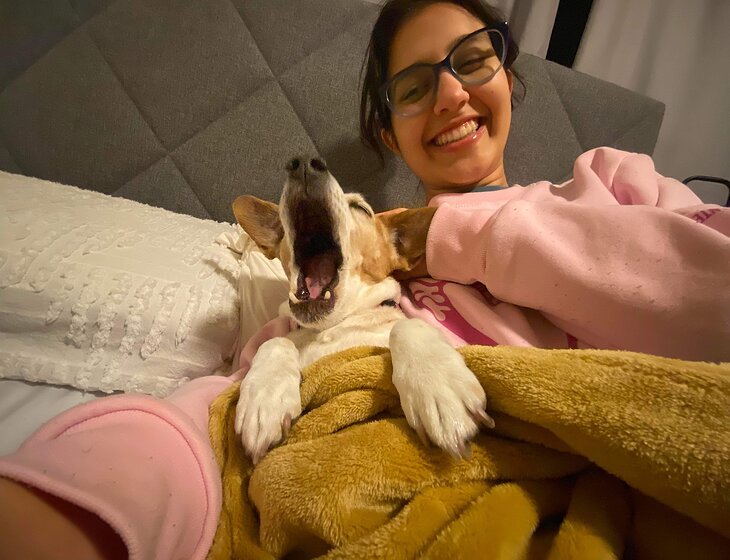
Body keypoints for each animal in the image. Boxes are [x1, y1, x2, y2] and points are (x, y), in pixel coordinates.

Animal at [232, 156, 493, 464]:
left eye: (360, 208)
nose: (304, 164)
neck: (332, 325)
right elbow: (275, 341)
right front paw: (264, 399)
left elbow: (405, 325)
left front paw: (438, 388)